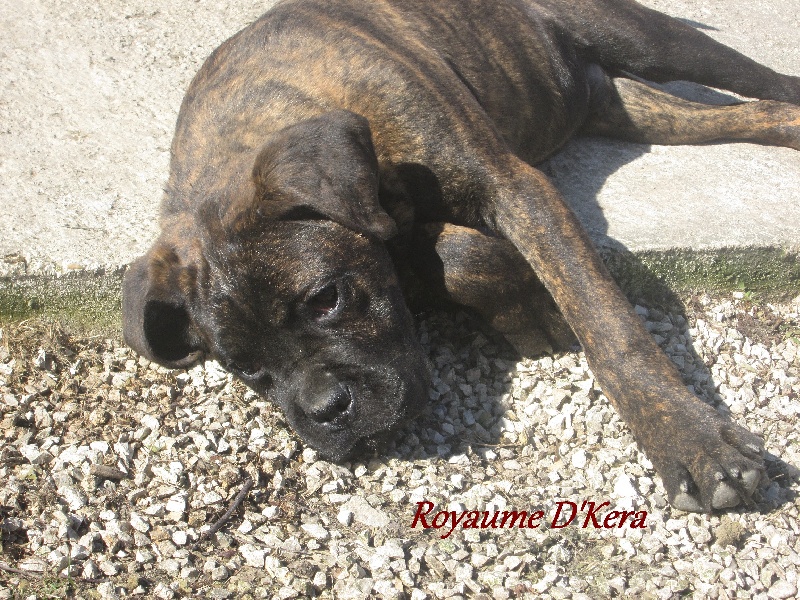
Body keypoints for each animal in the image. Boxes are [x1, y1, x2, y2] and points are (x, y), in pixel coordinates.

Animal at [122, 0, 796, 510]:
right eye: (245, 370)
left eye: (325, 299)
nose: (326, 411)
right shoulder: (402, 232)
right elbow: (460, 255)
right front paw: (526, 309)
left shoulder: (516, 189)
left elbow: (608, 324)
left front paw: (691, 444)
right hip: (629, 108)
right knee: (747, 114)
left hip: (648, 39)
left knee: (762, 83)